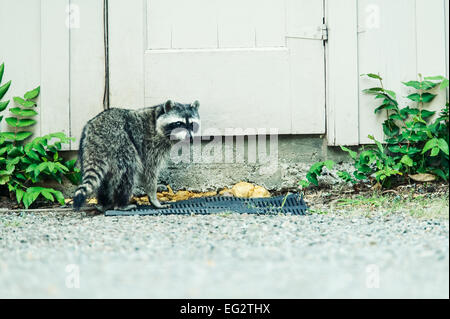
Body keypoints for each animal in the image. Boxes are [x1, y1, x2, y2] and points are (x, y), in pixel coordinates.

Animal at [72, 100, 200, 212]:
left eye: (192, 124)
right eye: (179, 123)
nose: (190, 138)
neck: (156, 118)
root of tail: (96, 134)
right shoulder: (150, 146)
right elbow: (149, 172)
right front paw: (153, 197)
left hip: (87, 149)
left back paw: (104, 203)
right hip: (121, 143)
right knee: (128, 171)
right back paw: (121, 204)